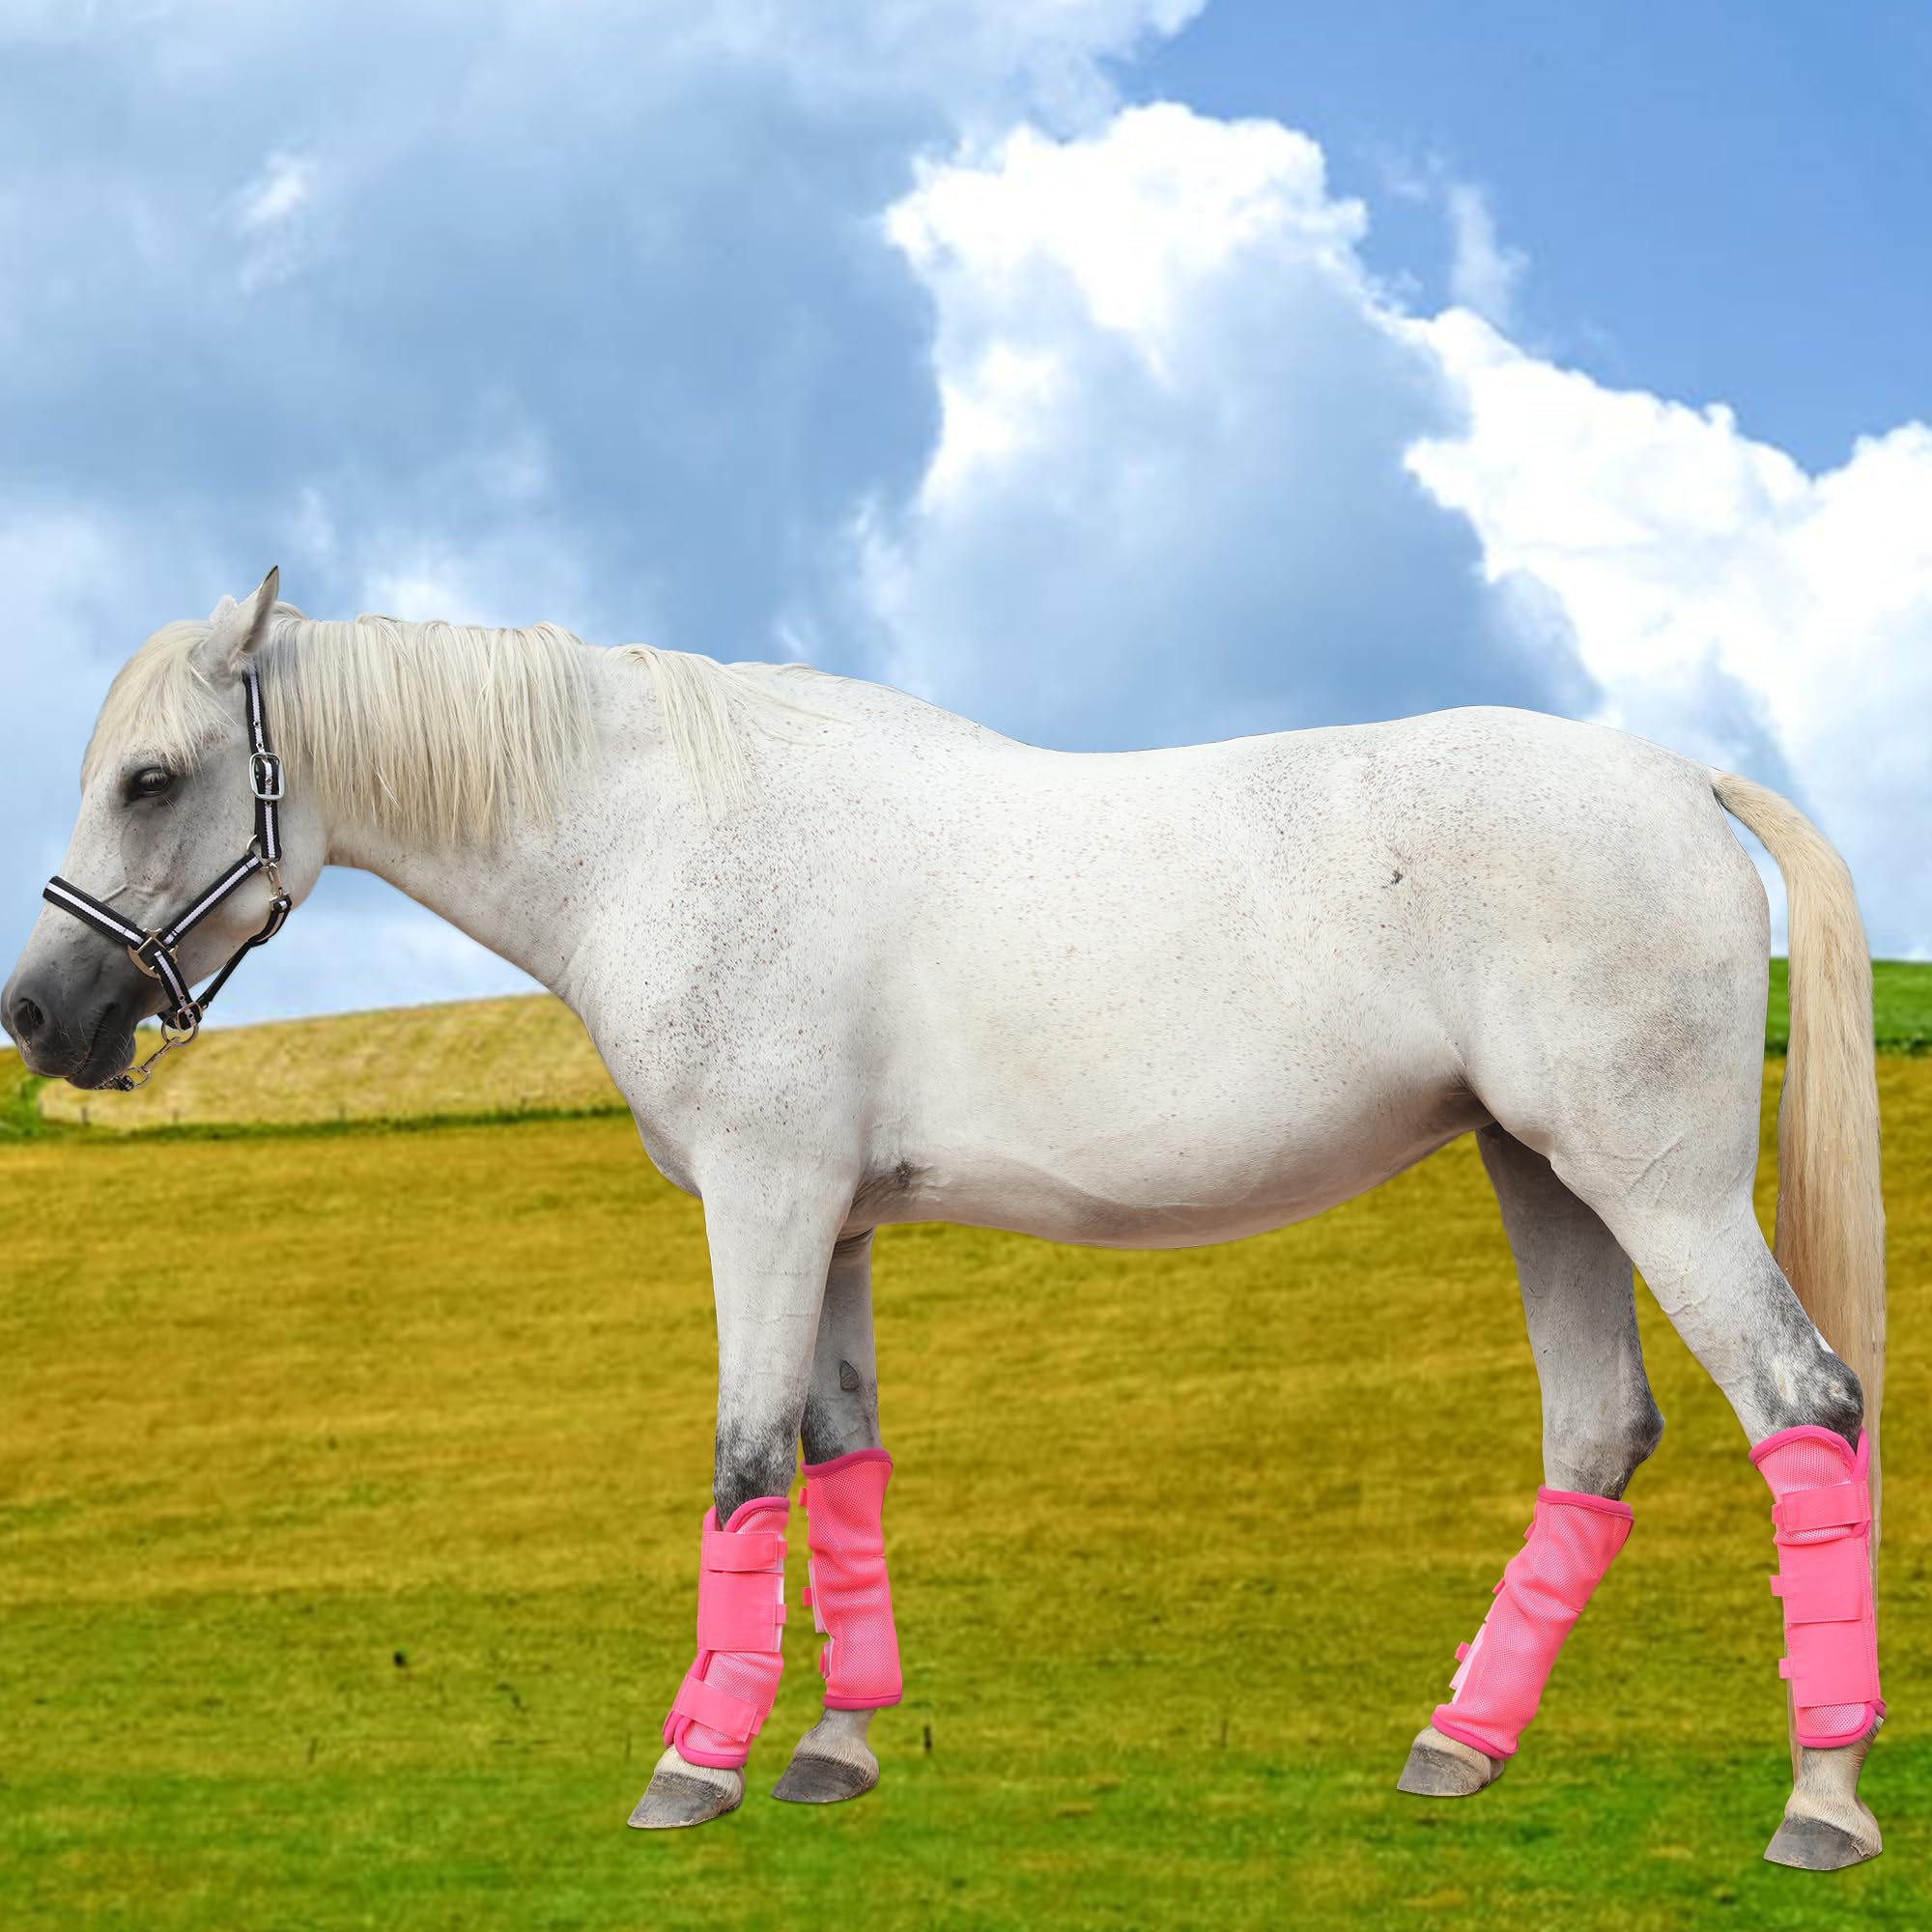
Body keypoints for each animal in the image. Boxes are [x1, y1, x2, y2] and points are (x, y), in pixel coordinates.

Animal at [2, 571, 1886, 1868]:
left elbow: (744, 1461)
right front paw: (832, 1754)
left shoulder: (765, 1202)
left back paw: (1822, 1801)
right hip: (1541, 1172)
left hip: (1652, 1186)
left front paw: (692, 1770)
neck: (659, 835)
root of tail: (1676, 777)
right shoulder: (831, 1225)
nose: (38, 1019)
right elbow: (840, 1461)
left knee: (1806, 1408)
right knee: (1600, 1431)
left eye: (154, 779)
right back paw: (1463, 1747)